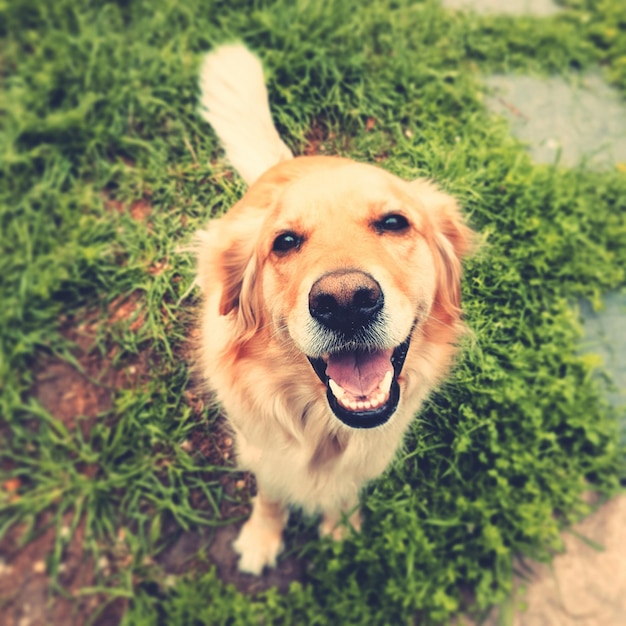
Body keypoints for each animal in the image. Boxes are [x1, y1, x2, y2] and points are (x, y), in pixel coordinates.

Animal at [195, 41, 472, 572]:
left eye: (394, 222)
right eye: (284, 242)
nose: (345, 302)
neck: (324, 428)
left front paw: (341, 528)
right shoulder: (264, 451)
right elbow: (270, 496)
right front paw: (262, 538)